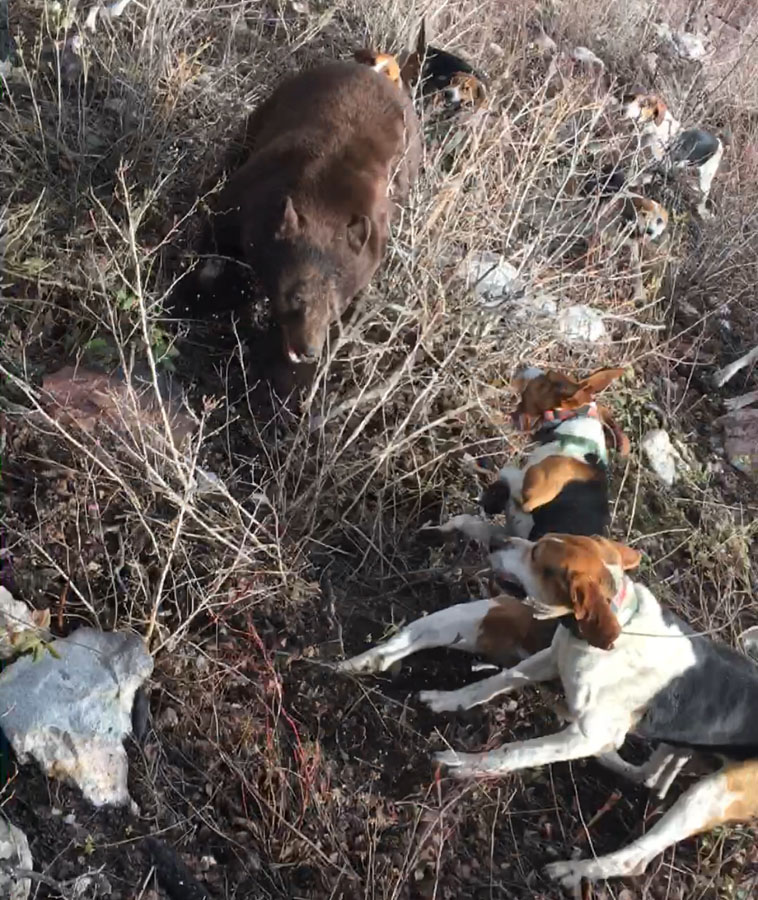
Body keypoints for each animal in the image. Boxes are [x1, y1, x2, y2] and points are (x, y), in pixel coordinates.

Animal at [200, 56, 422, 364]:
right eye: (296, 297)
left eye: (335, 307)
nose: (309, 350)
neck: (324, 202)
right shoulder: (251, 192)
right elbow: (217, 236)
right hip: (272, 105)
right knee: (239, 145)